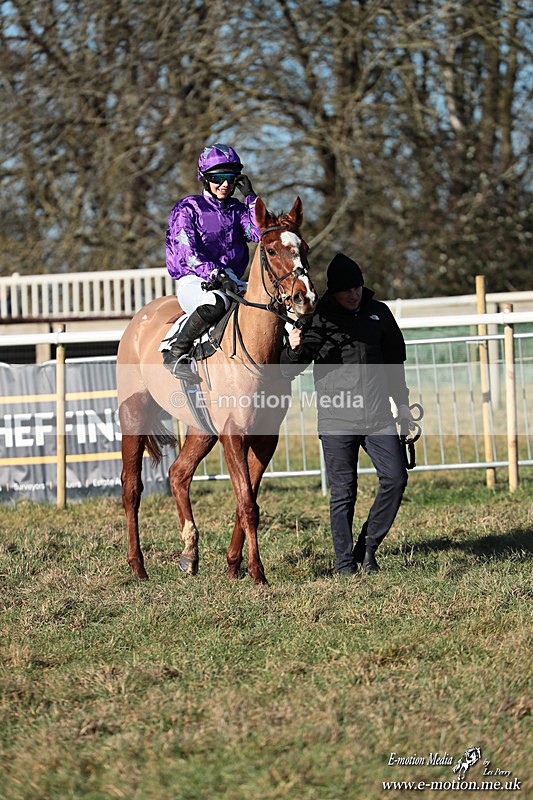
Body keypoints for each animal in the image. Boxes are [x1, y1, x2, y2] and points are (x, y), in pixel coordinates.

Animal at [116, 197, 317, 585]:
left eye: (305, 248)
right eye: (271, 249)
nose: (305, 298)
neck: (254, 349)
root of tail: (138, 320)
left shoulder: (264, 437)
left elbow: (246, 500)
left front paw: (234, 565)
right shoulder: (233, 434)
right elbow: (248, 504)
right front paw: (257, 573)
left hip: (201, 428)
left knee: (178, 474)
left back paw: (189, 554)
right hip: (133, 415)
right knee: (132, 488)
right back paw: (137, 565)